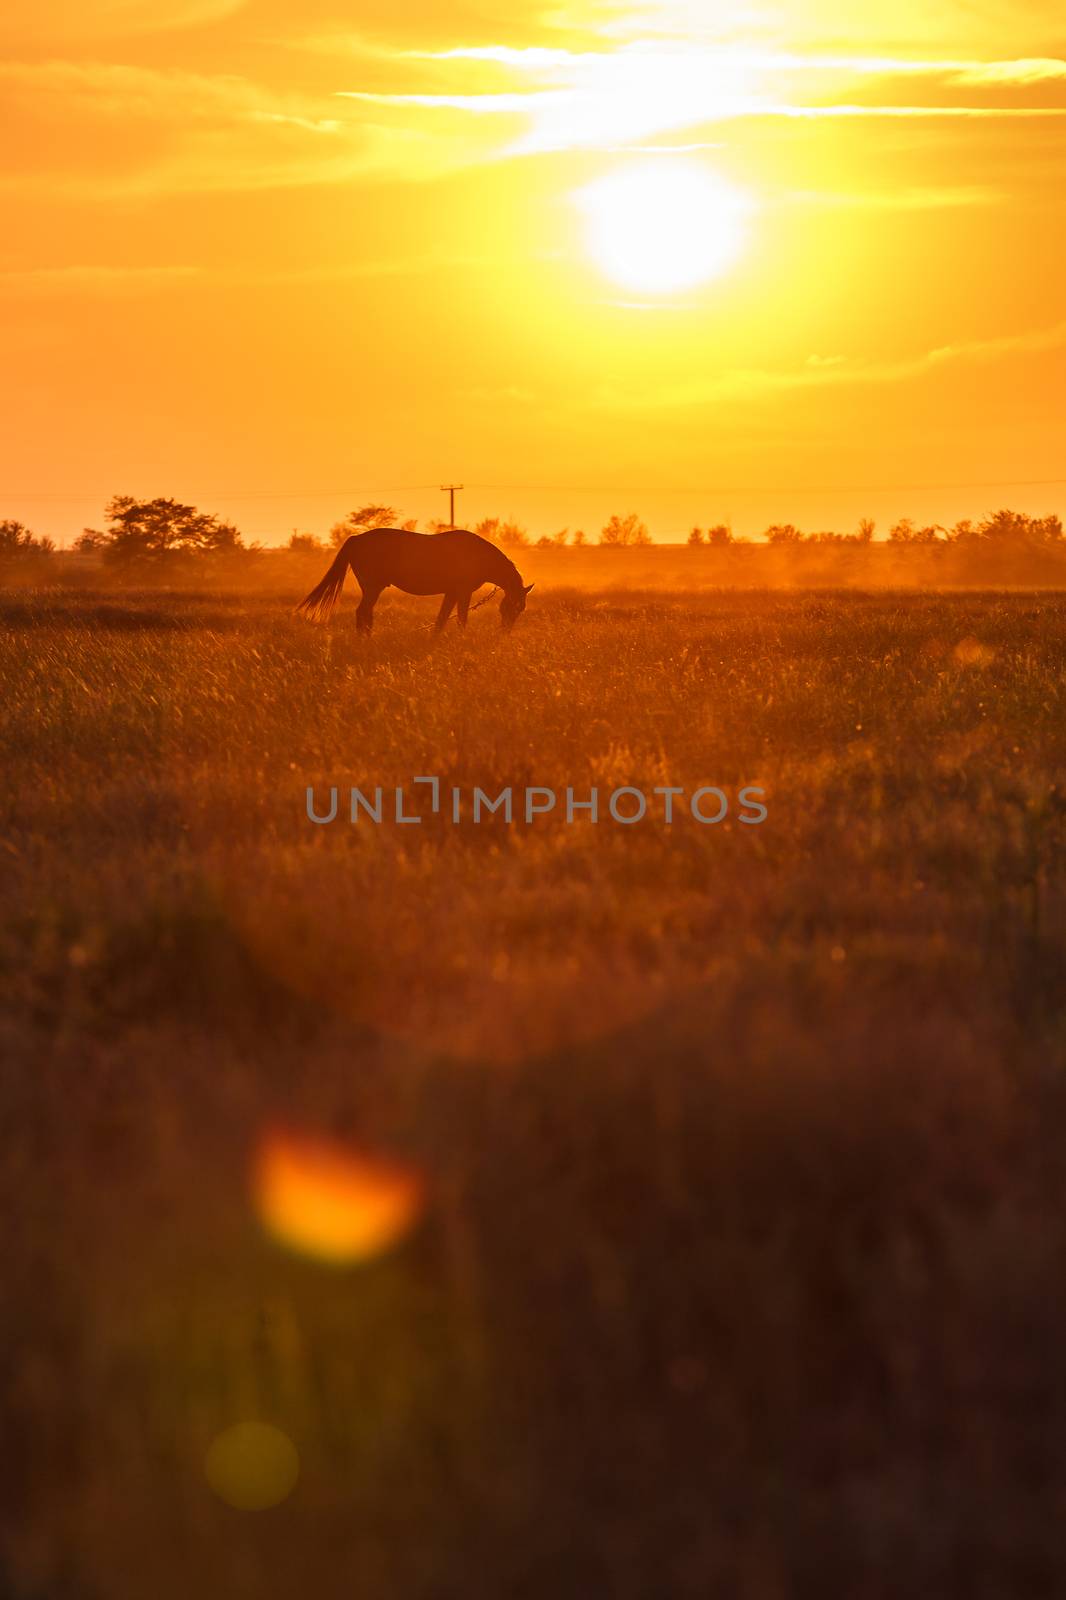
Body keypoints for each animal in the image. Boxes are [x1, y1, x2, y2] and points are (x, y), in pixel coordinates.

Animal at [294, 521, 531, 627]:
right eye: (512, 607)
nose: (505, 631)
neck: (477, 555)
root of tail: (356, 539)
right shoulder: (463, 592)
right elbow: (462, 618)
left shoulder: (451, 593)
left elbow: (442, 619)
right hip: (372, 588)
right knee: (362, 613)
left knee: (366, 614)